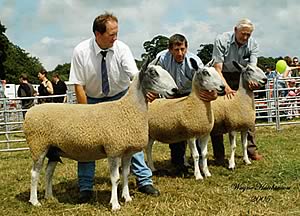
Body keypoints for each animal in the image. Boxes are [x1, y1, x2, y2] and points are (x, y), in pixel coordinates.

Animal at [24, 62, 178, 211]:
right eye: (153, 73)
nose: (175, 90)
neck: (129, 108)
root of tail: (30, 112)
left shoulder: (127, 151)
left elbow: (126, 174)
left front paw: (127, 198)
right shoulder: (113, 150)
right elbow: (115, 178)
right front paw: (115, 204)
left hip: (53, 150)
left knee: (48, 172)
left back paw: (49, 196)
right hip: (38, 146)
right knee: (34, 173)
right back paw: (35, 201)